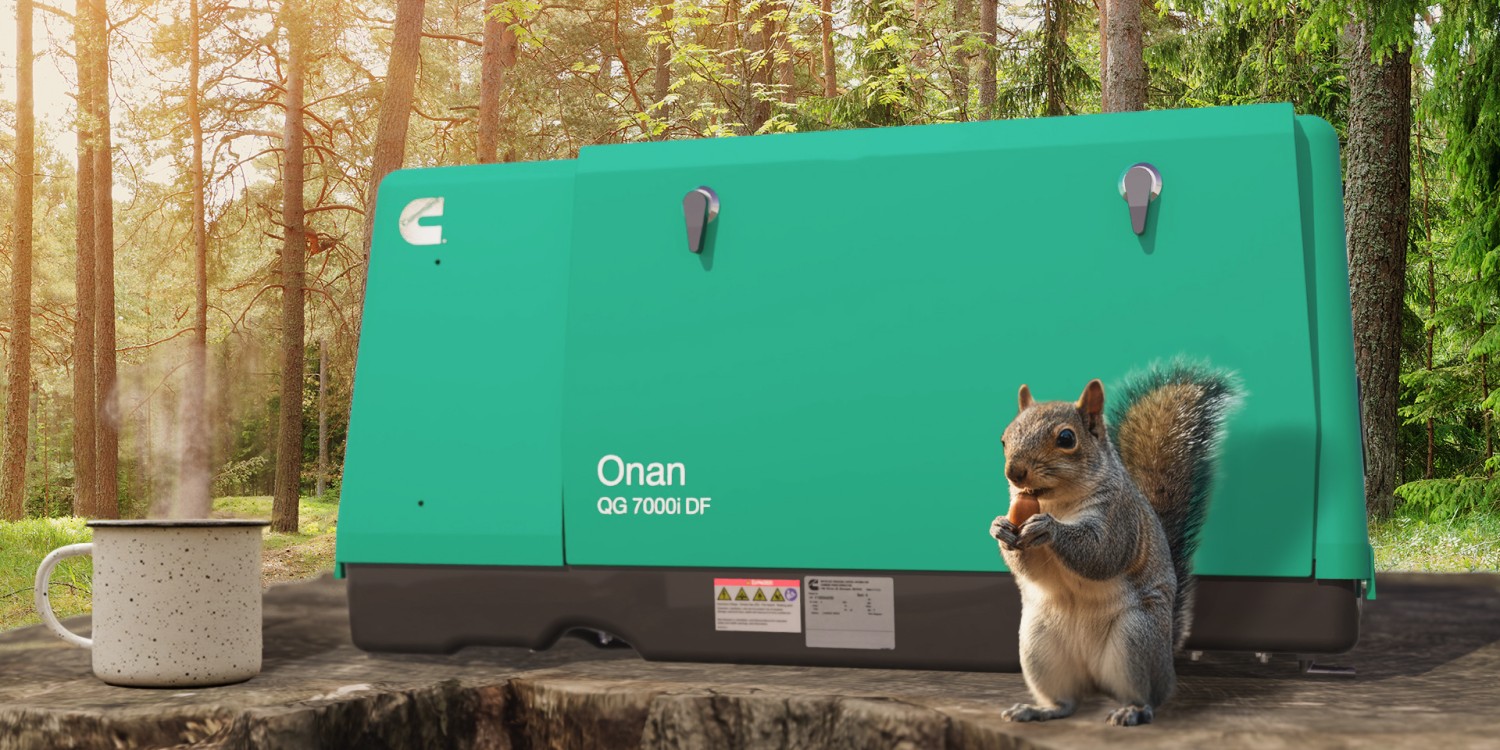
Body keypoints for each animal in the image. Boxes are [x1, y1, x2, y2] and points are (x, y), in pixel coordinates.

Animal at [988, 362, 1240, 727]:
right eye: (1004, 438)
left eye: (1066, 438)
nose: (1014, 472)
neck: (1057, 503)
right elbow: (1030, 568)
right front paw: (1001, 529)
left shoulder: (1119, 520)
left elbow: (1101, 553)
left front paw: (1048, 529)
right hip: (1039, 647)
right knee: (1066, 700)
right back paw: (1040, 709)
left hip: (1135, 640)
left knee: (1147, 695)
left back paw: (1133, 710)